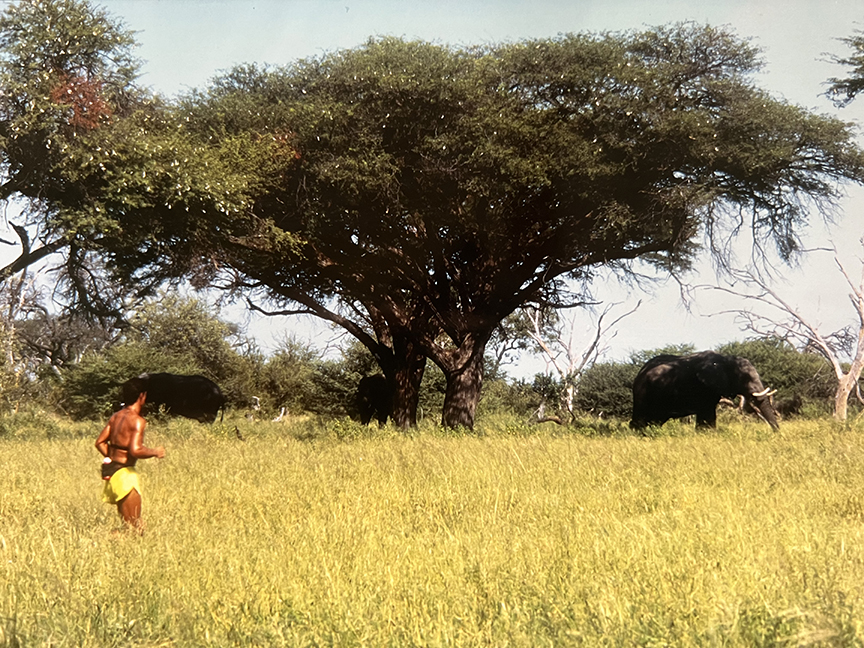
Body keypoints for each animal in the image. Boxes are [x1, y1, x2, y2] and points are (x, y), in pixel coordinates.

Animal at [628, 352, 784, 432]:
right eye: (745, 378)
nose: (777, 433)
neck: (726, 359)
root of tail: (640, 372)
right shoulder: (703, 387)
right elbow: (706, 413)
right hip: (643, 392)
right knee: (641, 418)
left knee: (656, 420)